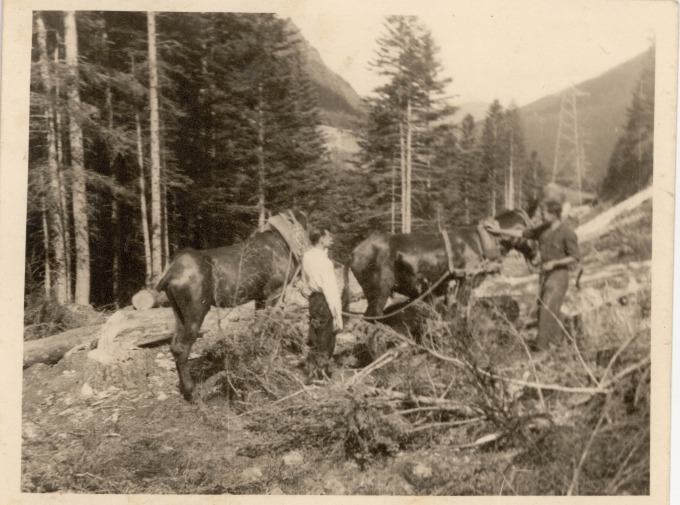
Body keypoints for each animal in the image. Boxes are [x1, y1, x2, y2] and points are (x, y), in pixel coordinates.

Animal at [157, 215, 306, 400]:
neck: (287, 246)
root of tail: (168, 276)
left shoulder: (260, 296)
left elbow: (257, 328)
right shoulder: (276, 290)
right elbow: (275, 325)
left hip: (179, 313)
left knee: (173, 345)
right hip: (196, 311)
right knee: (181, 348)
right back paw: (191, 392)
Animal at [342, 206, 540, 316]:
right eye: (531, 228)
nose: (538, 254)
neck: (482, 241)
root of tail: (352, 253)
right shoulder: (466, 280)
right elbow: (461, 313)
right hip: (379, 293)